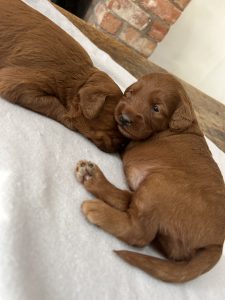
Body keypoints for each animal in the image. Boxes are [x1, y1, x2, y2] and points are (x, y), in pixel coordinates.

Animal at [76, 73, 225, 284]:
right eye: (130, 93)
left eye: (156, 108)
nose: (124, 118)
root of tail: (217, 244)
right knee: (130, 204)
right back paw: (93, 178)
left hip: (161, 182)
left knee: (139, 232)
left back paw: (97, 204)